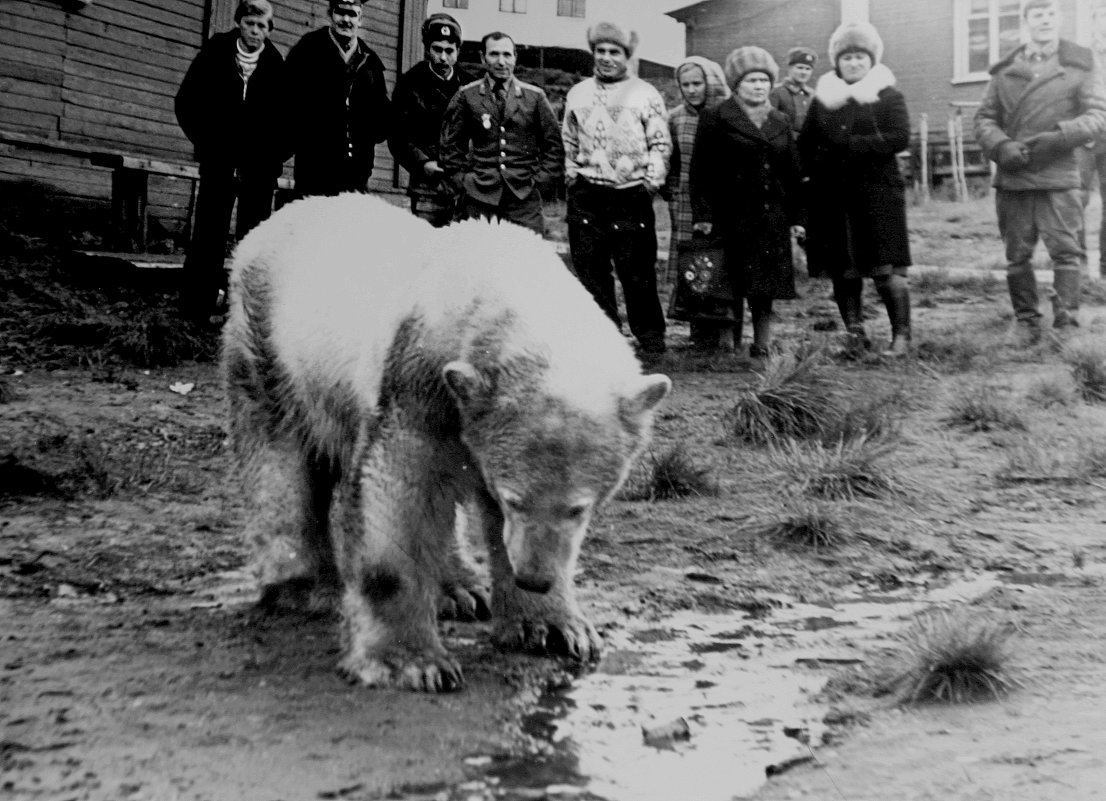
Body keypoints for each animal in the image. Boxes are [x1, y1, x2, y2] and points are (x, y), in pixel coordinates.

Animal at [223, 192, 668, 690]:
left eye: (580, 508)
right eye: (513, 499)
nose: (534, 578)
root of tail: (272, 221)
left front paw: (555, 628)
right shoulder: (418, 380)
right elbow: (401, 489)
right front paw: (408, 662)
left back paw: (463, 590)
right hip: (268, 345)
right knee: (279, 450)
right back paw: (305, 586)